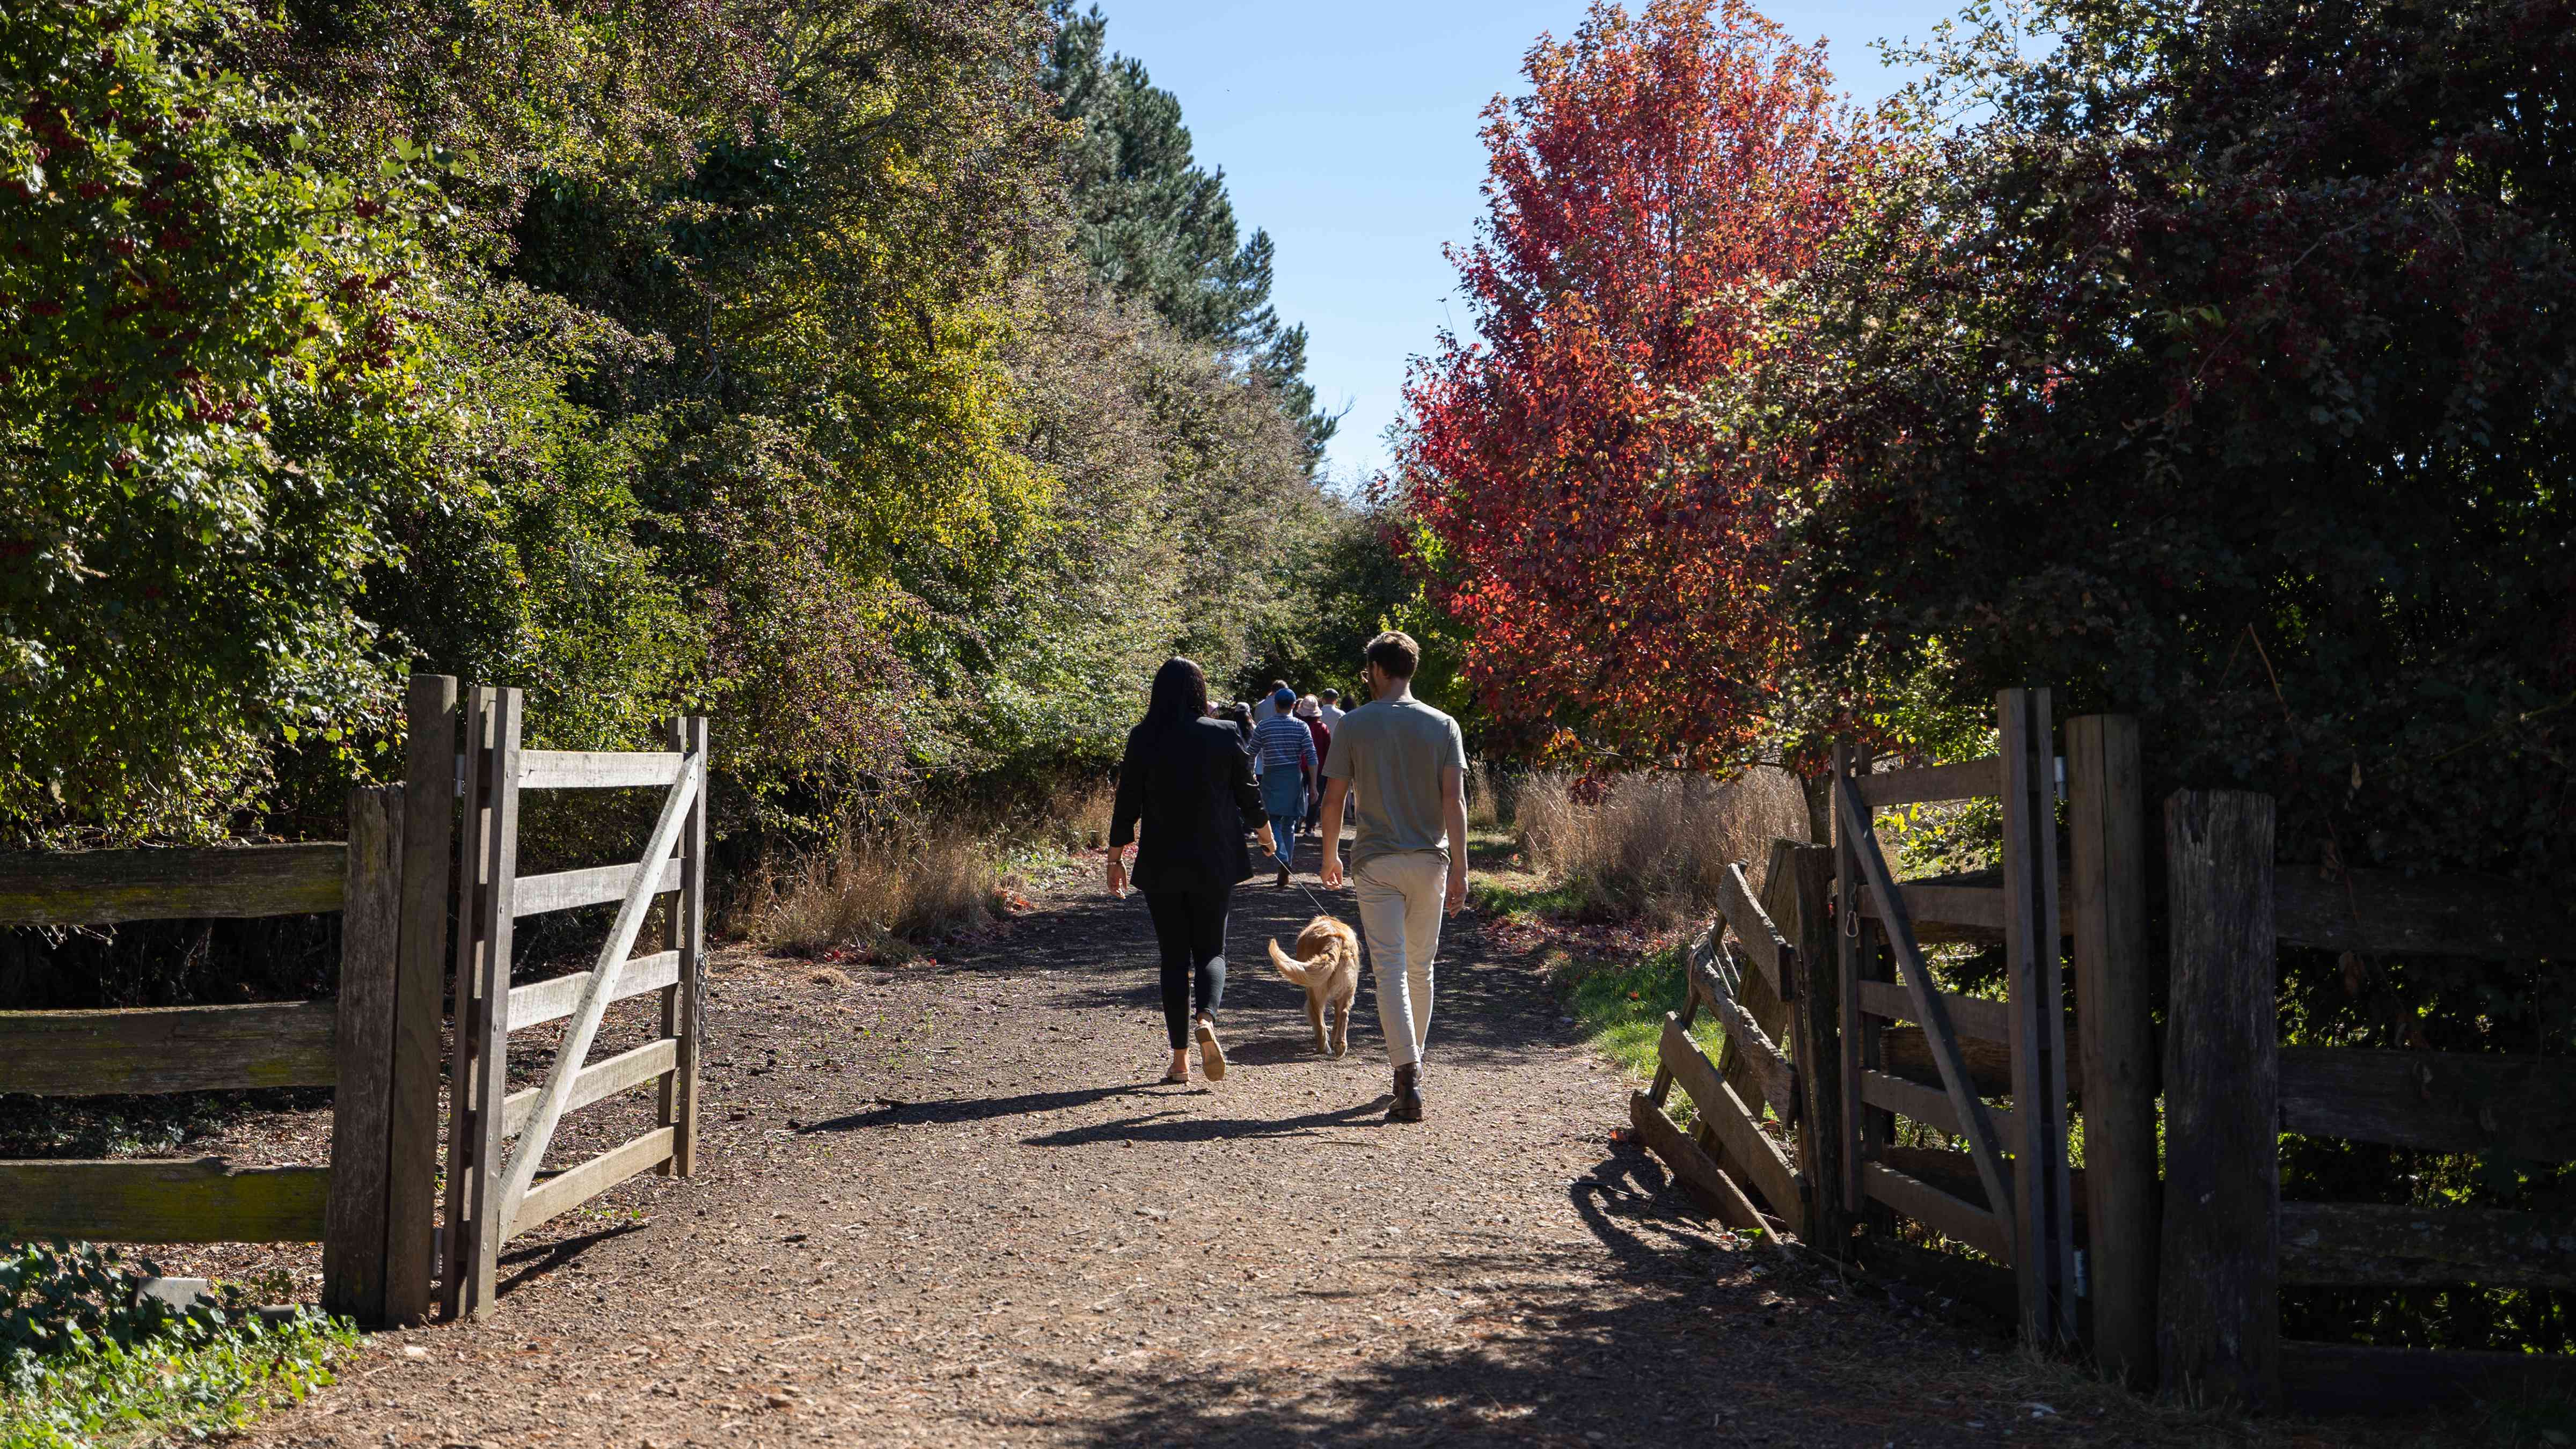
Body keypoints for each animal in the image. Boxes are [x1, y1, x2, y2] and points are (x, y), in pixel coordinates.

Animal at [1272, 908, 1370, 1057]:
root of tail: (1334, 940)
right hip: (1349, 989)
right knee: (1344, 1014)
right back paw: (1340, 1045)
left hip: (1315, 992)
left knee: (1321, 1023)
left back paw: (1322, 1048)